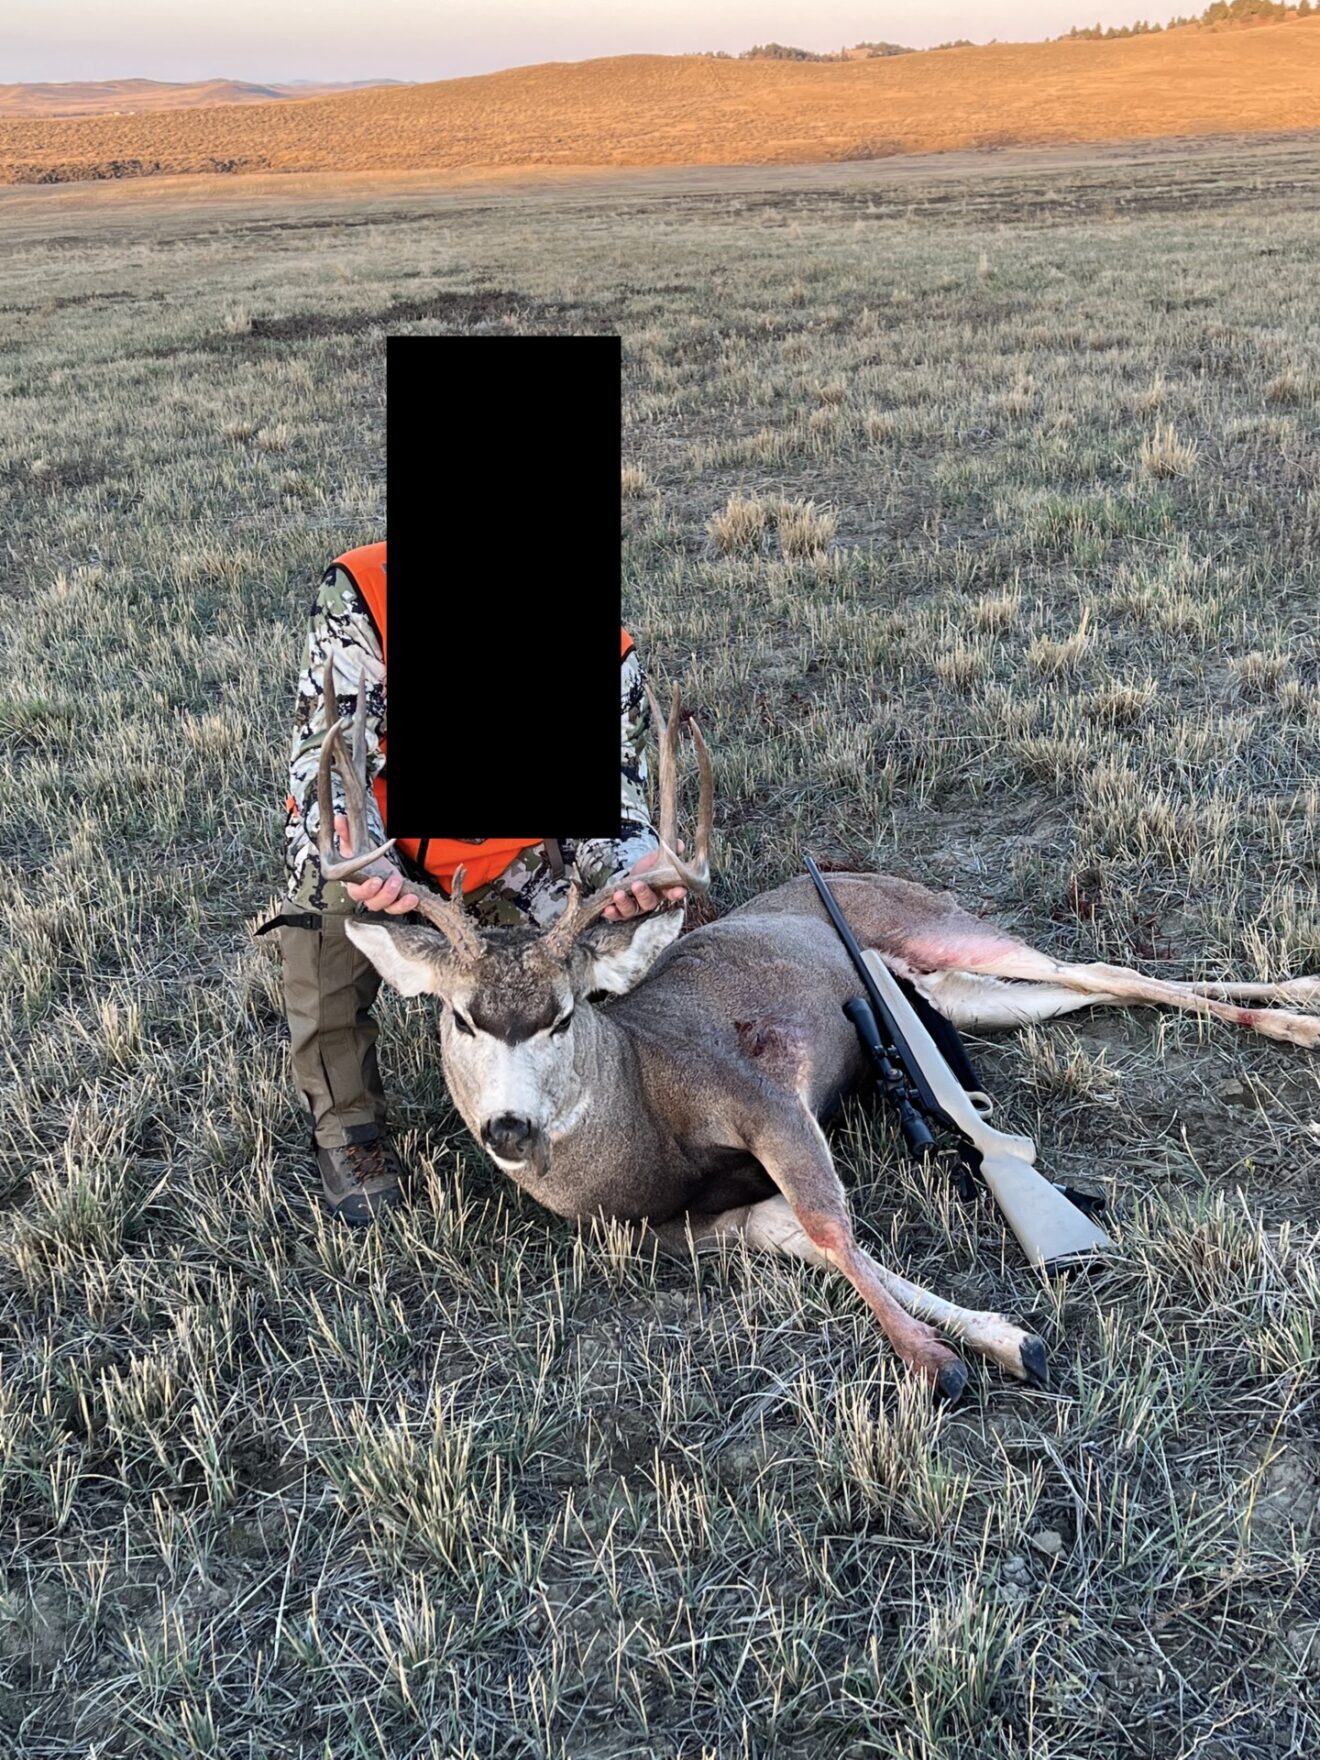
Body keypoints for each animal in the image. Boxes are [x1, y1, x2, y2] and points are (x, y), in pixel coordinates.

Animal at [316, 656, 1320, 1400]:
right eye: (459, 1017)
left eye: (565, 1016)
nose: (510, 1128)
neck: (639, 1115)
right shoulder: (695, 1228)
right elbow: (816, 1240)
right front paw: (1003, 1339)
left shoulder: (763, 1094)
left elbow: (831, 1222)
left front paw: (938, 1361)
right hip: (951, 989)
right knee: (1088, 989)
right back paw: (1293, 1013)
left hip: (937, 927)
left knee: (1103, 970)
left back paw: (1299, 1014)